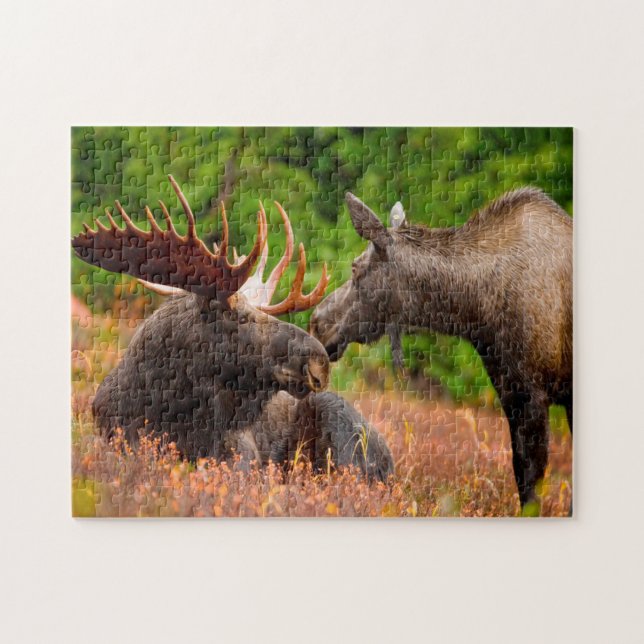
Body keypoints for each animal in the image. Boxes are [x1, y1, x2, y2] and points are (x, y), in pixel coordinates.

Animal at [310, 188, 572, 510]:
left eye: (355, 267)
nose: (317, 322)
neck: (476, 311)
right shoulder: (514, 390)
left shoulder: (531, 392)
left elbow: (530, 484)